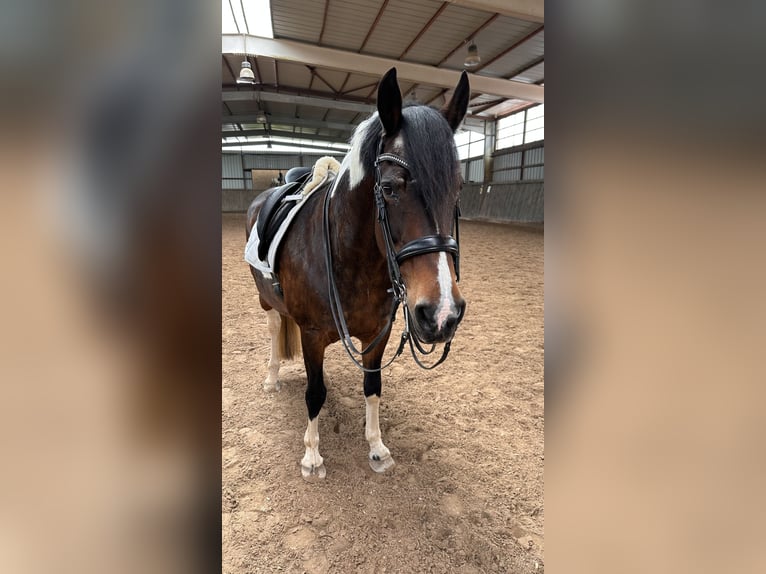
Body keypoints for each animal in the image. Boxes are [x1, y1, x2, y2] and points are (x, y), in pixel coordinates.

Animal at [249, 67, 472, 482]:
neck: (350, 258)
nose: (442, 314)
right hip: (266, 300)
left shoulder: (376, 334)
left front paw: (377, 448)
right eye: (388, 188)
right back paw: (271, 379)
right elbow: (315, 392)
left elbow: (372, 385)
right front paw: (312, 456)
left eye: (458, 188)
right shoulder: (312, 335)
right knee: (273, 330)